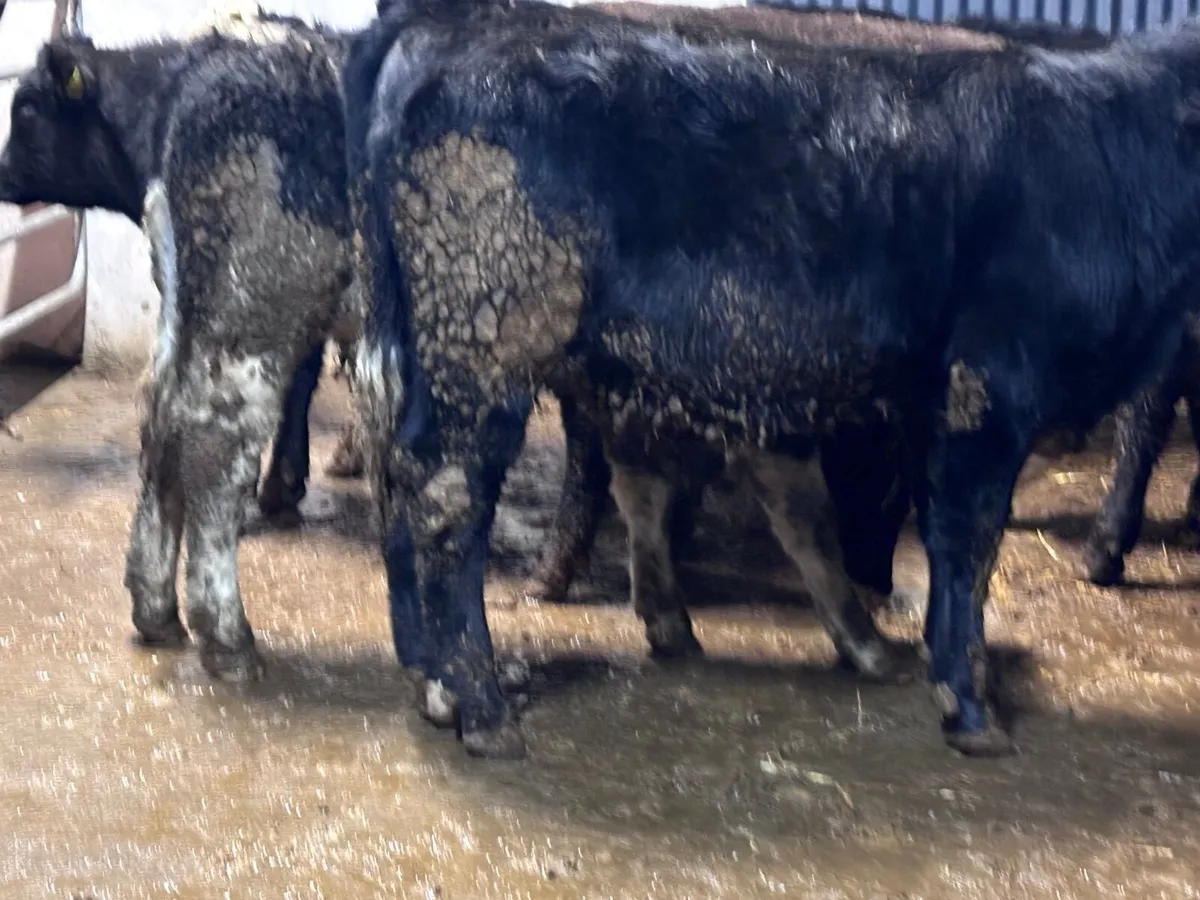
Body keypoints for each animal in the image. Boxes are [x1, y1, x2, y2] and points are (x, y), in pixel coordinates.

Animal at [344, 0, 1200, 761]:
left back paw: (433, 684)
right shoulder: (991, 383)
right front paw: (968, 704)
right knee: (447, 493)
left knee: (400, 477)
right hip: (487, 340)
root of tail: (443, 27)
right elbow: (970, 540)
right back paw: (481, 705)